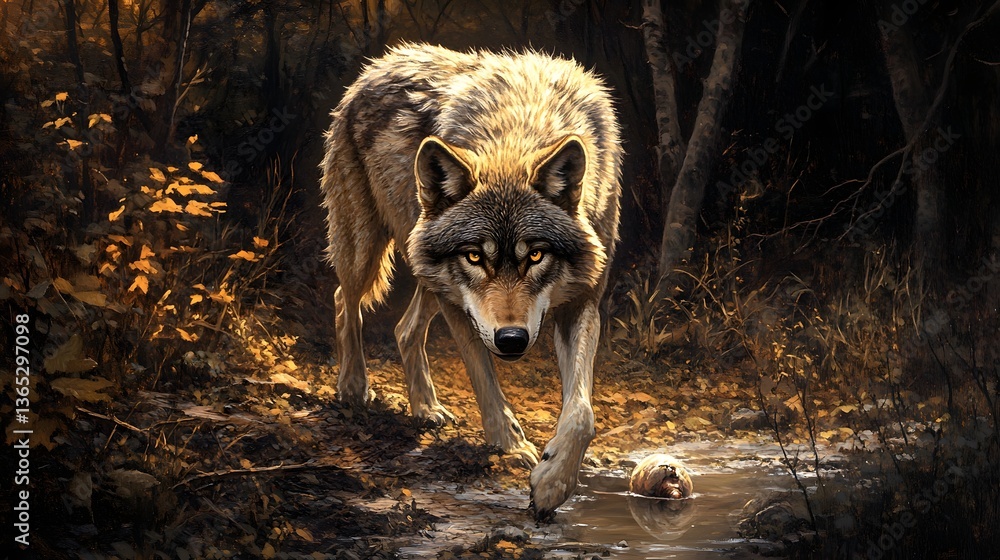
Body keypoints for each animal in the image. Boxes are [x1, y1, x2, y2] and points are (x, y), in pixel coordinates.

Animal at [319, 43, 622, 520]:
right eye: (475, 256)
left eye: (536, 255)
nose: (513, 339)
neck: (518, 125)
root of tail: (379, 64)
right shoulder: (463, 308)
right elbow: (484, 378)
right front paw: (513, 446)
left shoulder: (582, 302)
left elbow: (582, 413)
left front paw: (553, 483)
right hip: (368, 249)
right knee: (342, 300)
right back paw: (353, 386)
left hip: (428, 274)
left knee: (404, 329)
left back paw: (426, 407)